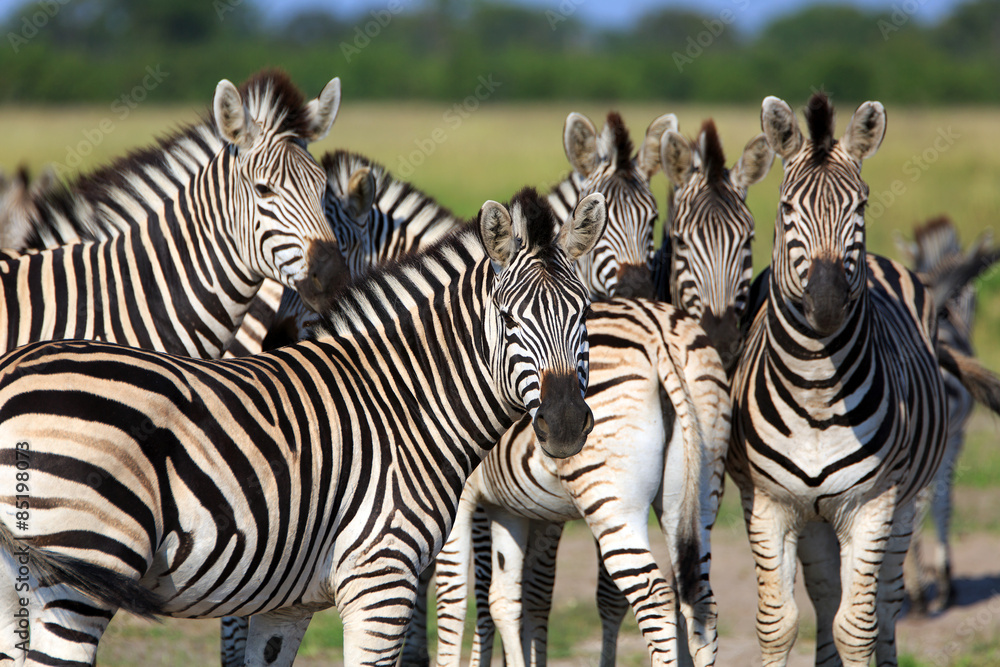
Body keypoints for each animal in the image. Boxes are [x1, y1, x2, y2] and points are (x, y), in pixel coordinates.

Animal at [0, 187, 606, 667]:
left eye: (583, 312)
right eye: (508, 319)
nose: (564, 425)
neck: (404, 402)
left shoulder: (287, 603)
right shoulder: (380, 580)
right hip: (81, 570)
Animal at [430, 121, 773, 667]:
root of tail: (661, 338)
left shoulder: (467, 500)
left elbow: (459, 602)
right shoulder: (518, 507)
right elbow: (513, 600)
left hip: (612, 496)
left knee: (655, 599)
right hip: (696, 492)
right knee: (699, 600)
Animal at [727, 92, 959, 667]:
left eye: (860, 208)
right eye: (787, 208)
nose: (827, 303)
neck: (815, 388)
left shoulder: (871, 504)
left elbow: (858, 627)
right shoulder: (770, 504)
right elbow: (778, 624)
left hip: (905, 500)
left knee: (888, 602)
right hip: (814, 518)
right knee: (827, 591)